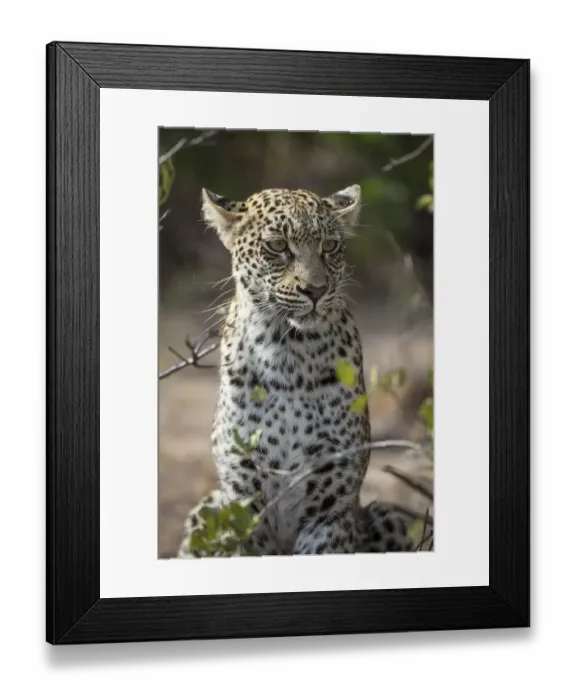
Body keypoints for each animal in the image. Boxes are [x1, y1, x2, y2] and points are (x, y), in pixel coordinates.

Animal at [177, 184, 415, 558]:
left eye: (329, 246)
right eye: (277, 246)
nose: (315, 290)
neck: (286, 351)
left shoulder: (330, 508)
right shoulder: (244, 504)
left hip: (389, 516)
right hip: (208, 509)